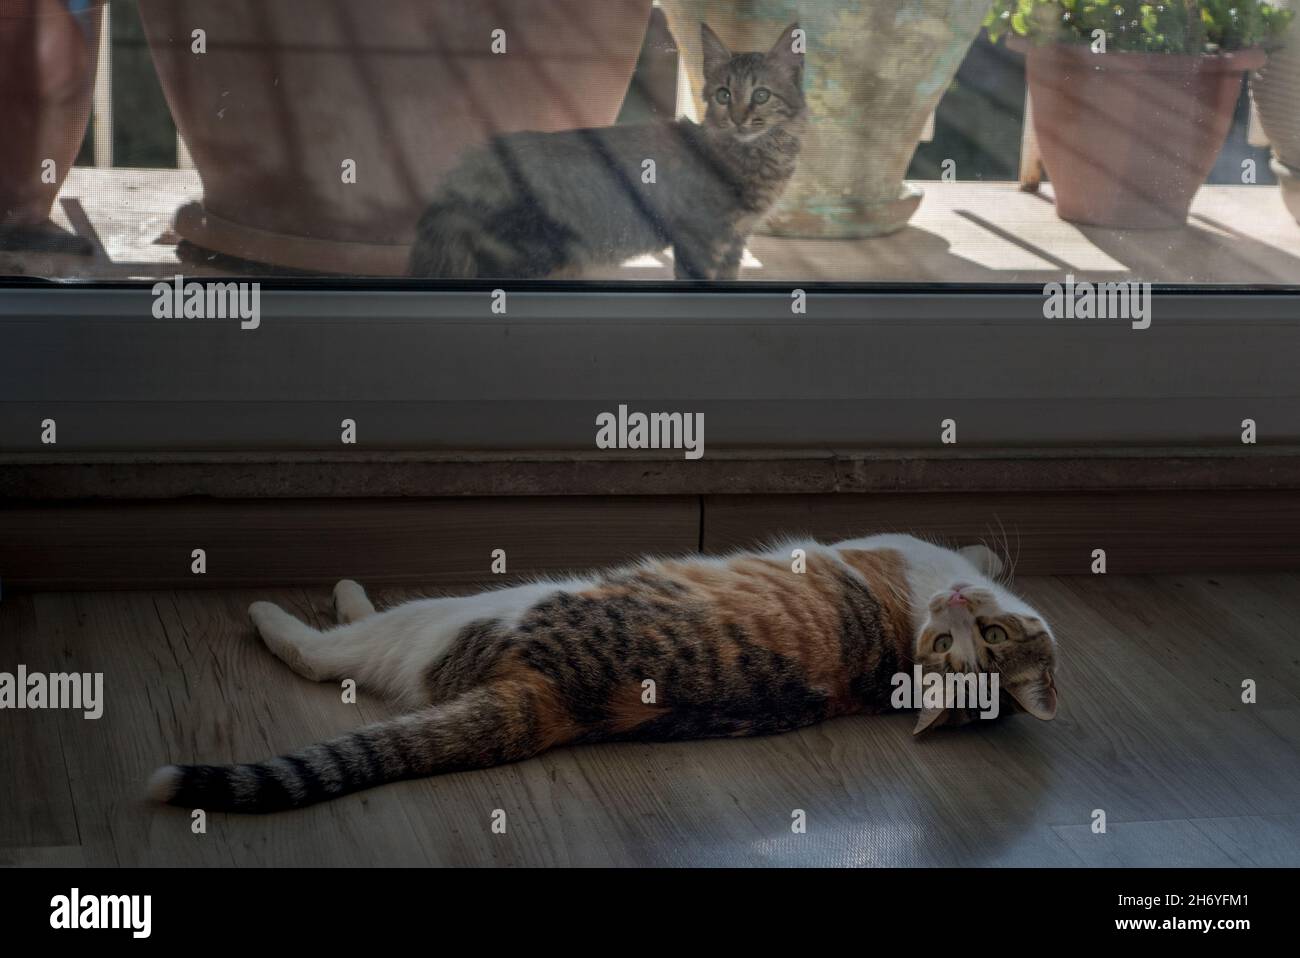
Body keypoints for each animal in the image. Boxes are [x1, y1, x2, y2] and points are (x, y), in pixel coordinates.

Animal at [149, 535, 1055, 811]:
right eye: (966, 641)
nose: (955, 604)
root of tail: (546, 701)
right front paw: (985, 554)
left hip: (479, 608)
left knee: (335, 651)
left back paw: (307, 608)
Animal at [410, 21, 806, 280]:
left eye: (761, 95)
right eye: (724, 95)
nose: (738, 118)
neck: (757, 158)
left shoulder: (734, 242)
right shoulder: (701, 241)